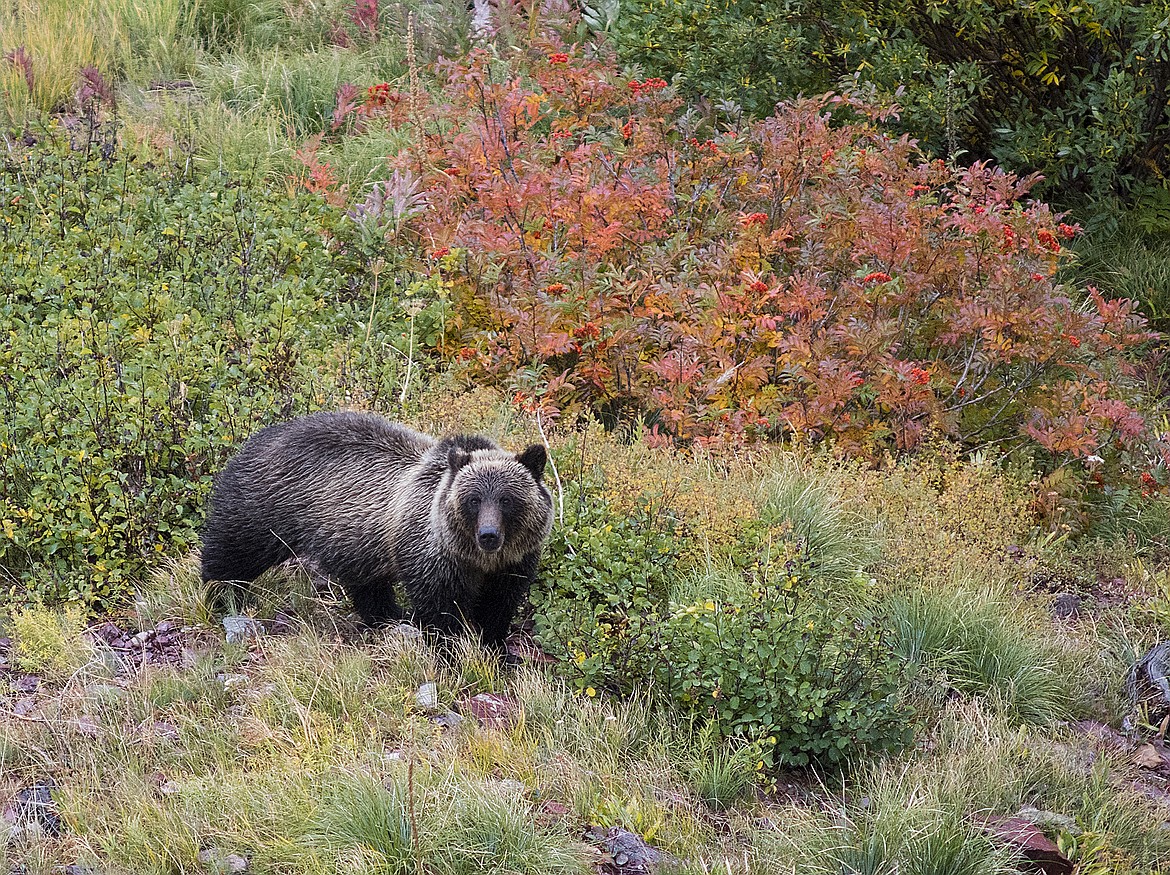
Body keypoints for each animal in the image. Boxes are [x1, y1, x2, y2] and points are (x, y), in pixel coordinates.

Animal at [201, 411, 552, 650]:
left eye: (507, 499)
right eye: (473, 499)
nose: (489, 535)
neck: (475, 559)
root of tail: (253, 438)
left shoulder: (513, 564)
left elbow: (498, 606)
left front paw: (497, 649)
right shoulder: (431, 554)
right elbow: (441, 610)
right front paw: (449, 650)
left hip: (357, 541)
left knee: (368, 586)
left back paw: (390, 615)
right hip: (266, 506)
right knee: (233, 549)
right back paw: (220, 595)